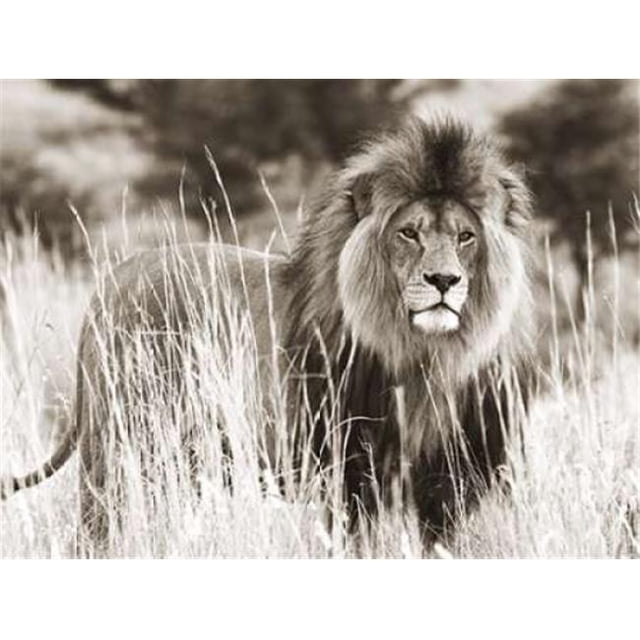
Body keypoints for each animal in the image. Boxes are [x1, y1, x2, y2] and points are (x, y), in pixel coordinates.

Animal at [1, 116, 534, 553]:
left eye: (465, 237)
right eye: (408, 233)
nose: (444, 280)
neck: (426, 357)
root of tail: (110, 282)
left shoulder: (448, 484)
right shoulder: (350, 476)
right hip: (116, 447)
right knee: (94, 532)